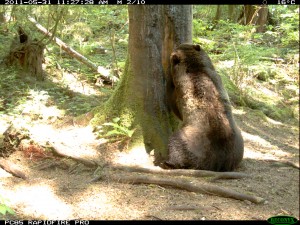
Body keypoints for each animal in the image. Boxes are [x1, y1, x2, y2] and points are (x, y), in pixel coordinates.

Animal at [164, 43, 244, 171]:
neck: (195, 67)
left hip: (191, 140)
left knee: (176, 144)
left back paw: (168, 162)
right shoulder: (216, 77)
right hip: (238, 143)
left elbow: (174, 104)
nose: (176, 46)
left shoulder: (181, 88)